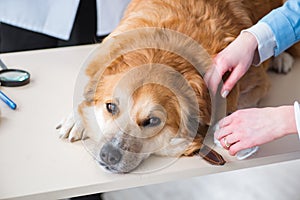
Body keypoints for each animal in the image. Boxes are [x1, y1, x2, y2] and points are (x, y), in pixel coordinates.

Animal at [56, 0, 292, 173]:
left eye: (152, 121)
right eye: (111, 107)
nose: (109, 155)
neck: (162, 50)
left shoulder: (255, 83)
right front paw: (77, 119)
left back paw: (282, 58)